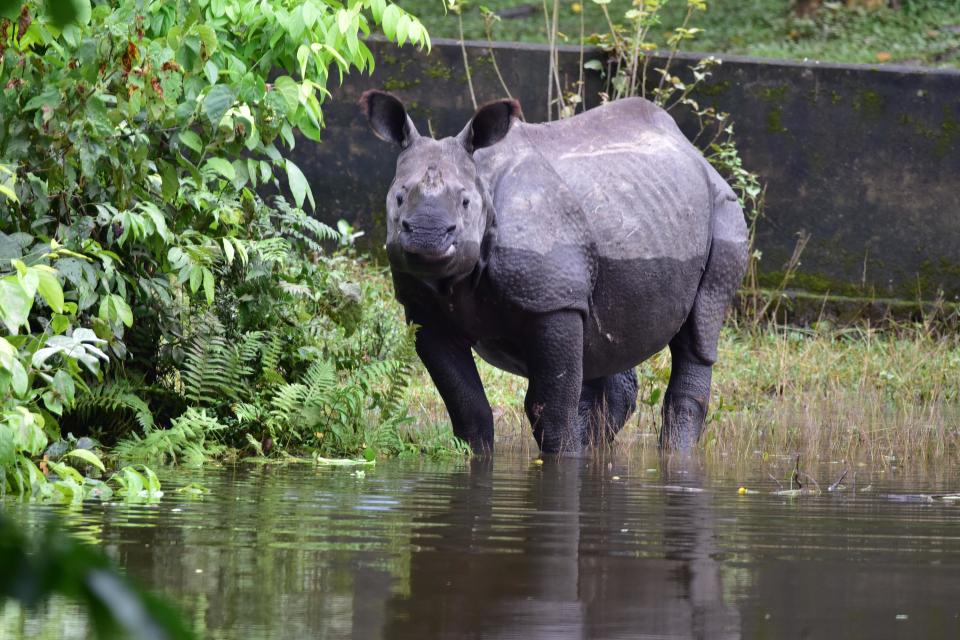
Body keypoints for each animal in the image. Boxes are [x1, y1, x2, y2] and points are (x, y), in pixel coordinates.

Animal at [360, 91, 752, 456]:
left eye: (465, 202)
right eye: (398, 197)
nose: (427, 236)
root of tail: (694, 152)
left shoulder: (554, 301)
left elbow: (549, 407)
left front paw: (564, 460)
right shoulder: (427, 314)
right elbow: (467, 407)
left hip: (724, 211)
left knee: (699, 332)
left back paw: (673, 455)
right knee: (605, 344)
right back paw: (598, 451)